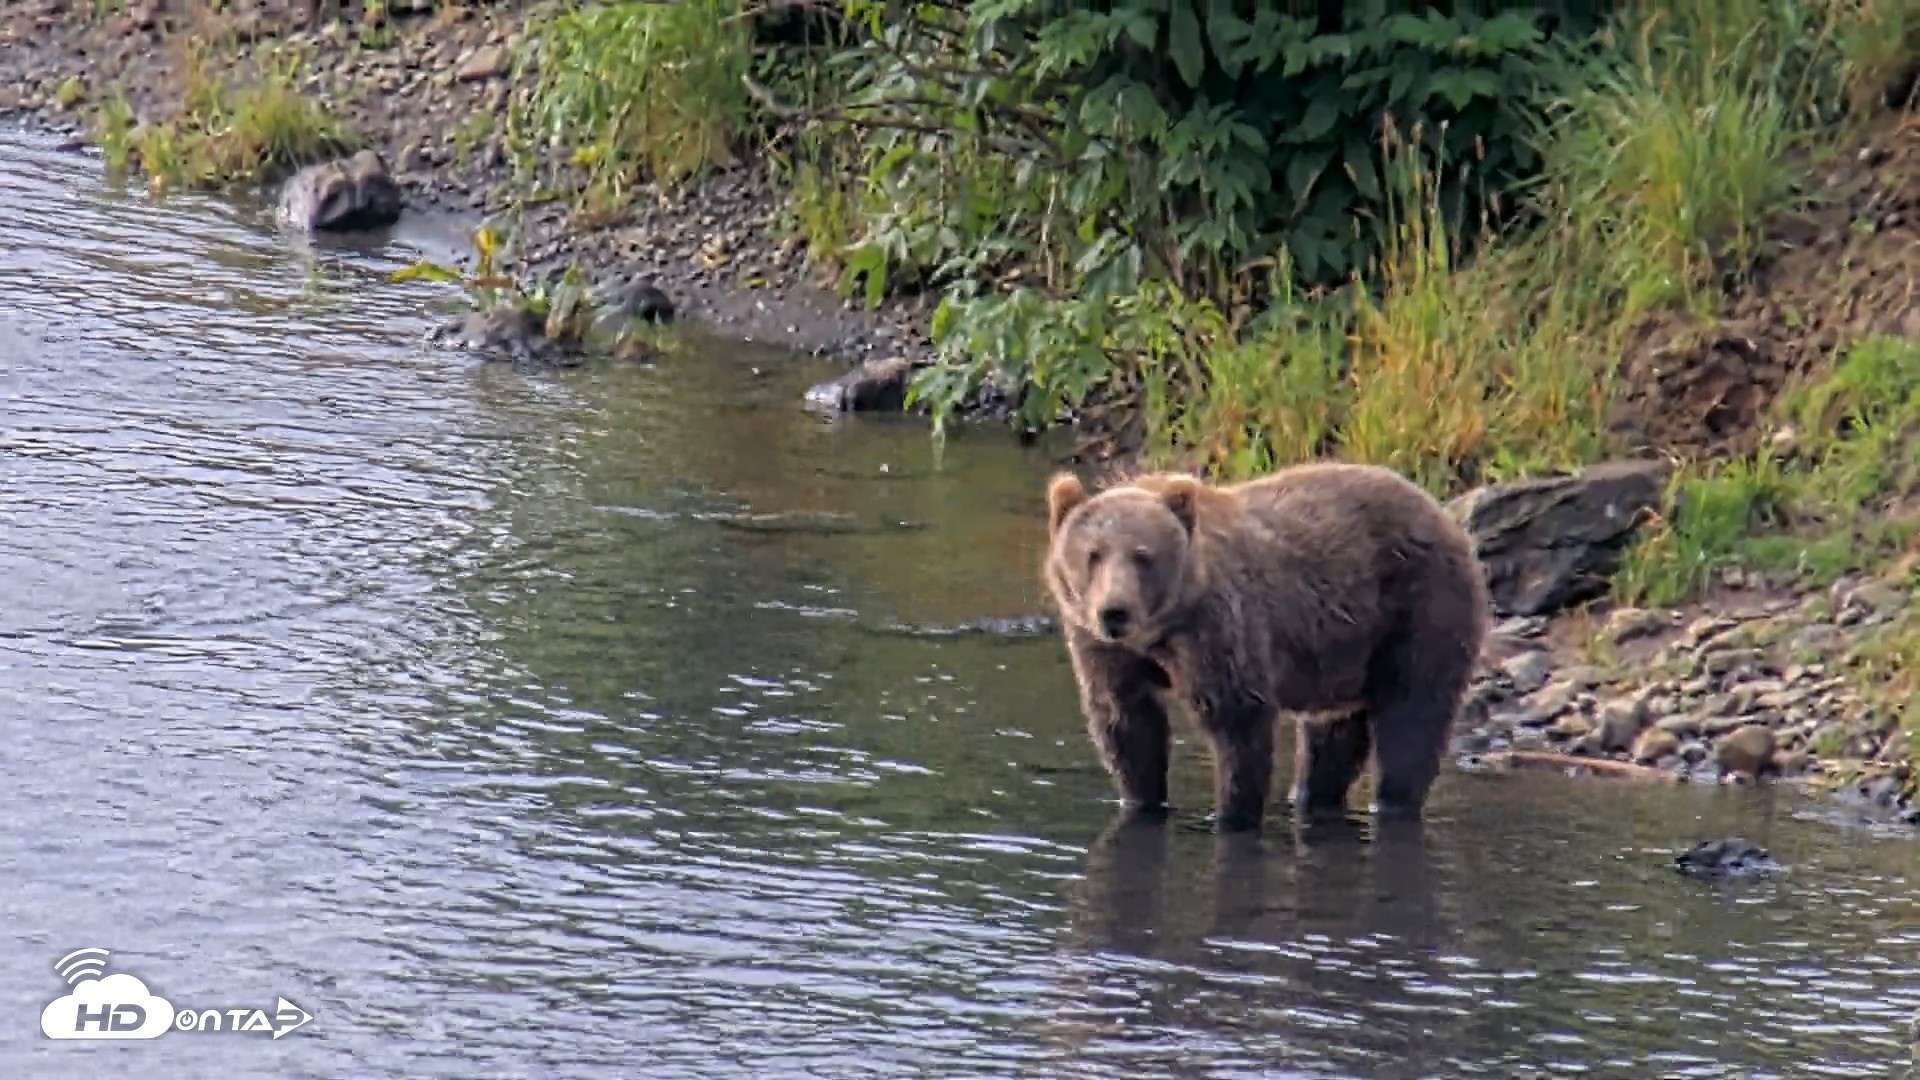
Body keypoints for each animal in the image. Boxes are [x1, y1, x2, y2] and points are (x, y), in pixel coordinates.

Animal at [1042, 461, 1490, 830]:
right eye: (1093, 554)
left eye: (1143, 556)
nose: (1114, 612)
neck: (1162, 630)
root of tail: (1444, 515)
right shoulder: (1102, 648)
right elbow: (1127, 721)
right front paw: (1141, 800)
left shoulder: (1219, 629)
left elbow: (1238, 721)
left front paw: (1232, 812)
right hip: (1349, 655)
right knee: (1333, 738)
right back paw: (1311, 797)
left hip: (1421, 606)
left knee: (1413, 716)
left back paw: (1393, 800)